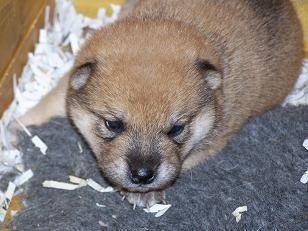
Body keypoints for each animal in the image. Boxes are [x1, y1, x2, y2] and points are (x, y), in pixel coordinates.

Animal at [17, 0, 304, 206]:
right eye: (113, 124)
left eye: (176, 129)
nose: (143, 175)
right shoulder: (73, 77)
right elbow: (53, 99)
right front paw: (19, 123)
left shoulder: (212, 141)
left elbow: (186, 160)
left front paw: (145, 193)